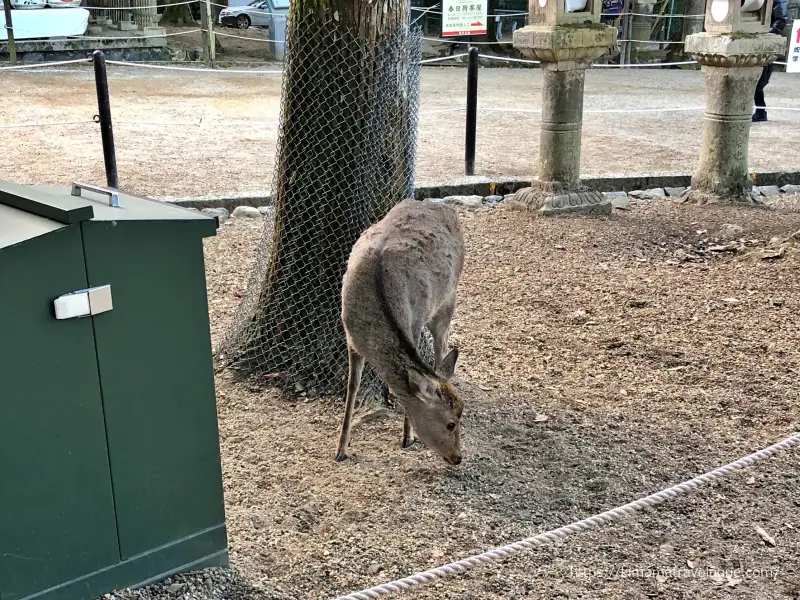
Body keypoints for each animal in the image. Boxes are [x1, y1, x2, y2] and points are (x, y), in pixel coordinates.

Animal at [334, 199, 466, 466]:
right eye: (450, 424)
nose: (458, 457)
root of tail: (442, 206)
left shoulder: (413, 325)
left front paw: (407, 437)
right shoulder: (350, 337)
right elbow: (352, 386)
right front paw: (341, 449)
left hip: (449, 297)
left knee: (441, 347)